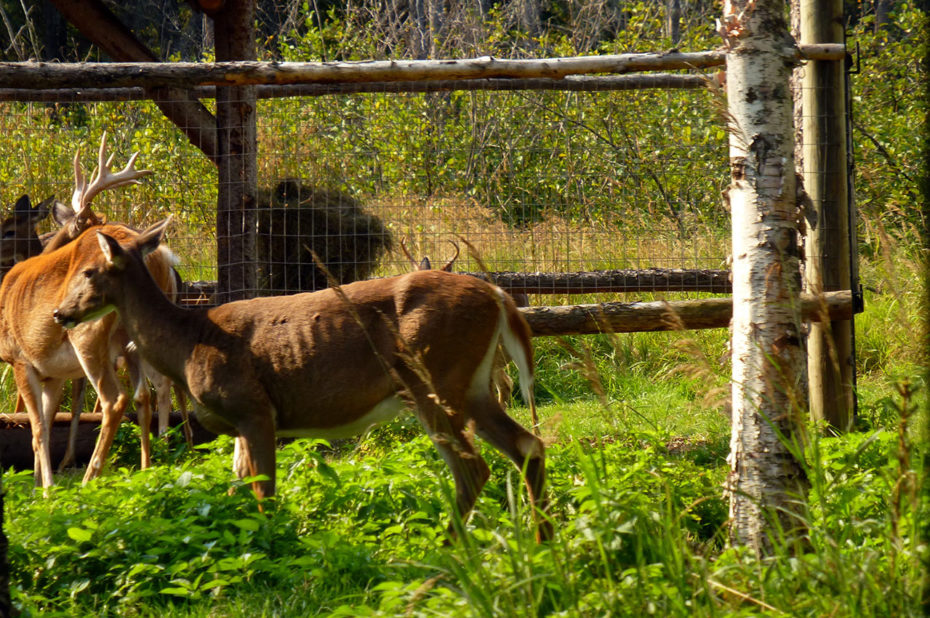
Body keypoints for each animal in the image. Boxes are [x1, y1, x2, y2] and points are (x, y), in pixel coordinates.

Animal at [54, 221, 548, 540]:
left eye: (89, 271)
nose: (60, 313)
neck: (188, 343)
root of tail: (499, 295)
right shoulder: (242, 425)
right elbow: (237, 489)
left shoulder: (254, 408)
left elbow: (264, 493)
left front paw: (274, 549)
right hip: (473, 385)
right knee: (528, 445)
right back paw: (544, 546)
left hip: (435, 379)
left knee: (474, 468)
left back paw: (445, 552)